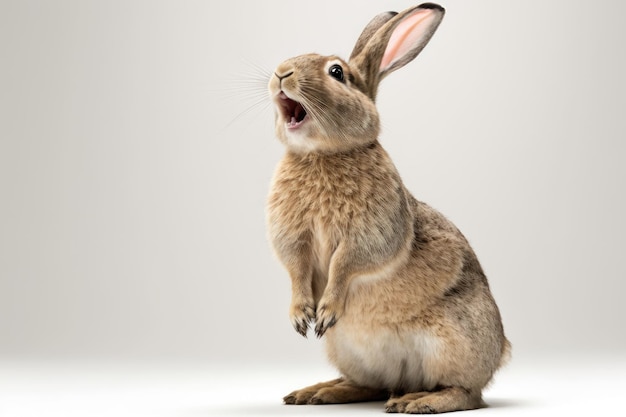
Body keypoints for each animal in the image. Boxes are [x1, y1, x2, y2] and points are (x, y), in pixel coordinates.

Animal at [264, 3, 508, 412]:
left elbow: (347, 264)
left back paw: (418, 401)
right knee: (370, 385)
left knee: (467, 393)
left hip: (452, 342)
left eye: (337, 72)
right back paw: (318, 392)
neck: (322, 155)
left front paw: (327, 310)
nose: (282, 72)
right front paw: (301, 315)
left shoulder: (370, 233)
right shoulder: (293, 238)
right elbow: (296, 268)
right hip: (349, 352)